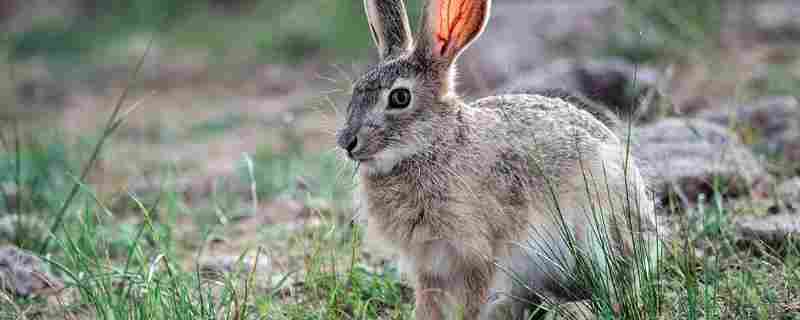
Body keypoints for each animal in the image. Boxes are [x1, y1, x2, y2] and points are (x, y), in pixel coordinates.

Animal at [338, 0, 656, 320]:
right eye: (355, 90)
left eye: (400, 98)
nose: (347, 142)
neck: (431, 145)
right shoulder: (429, 267)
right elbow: (428, 303)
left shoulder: (478, 253)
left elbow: (472, 301)